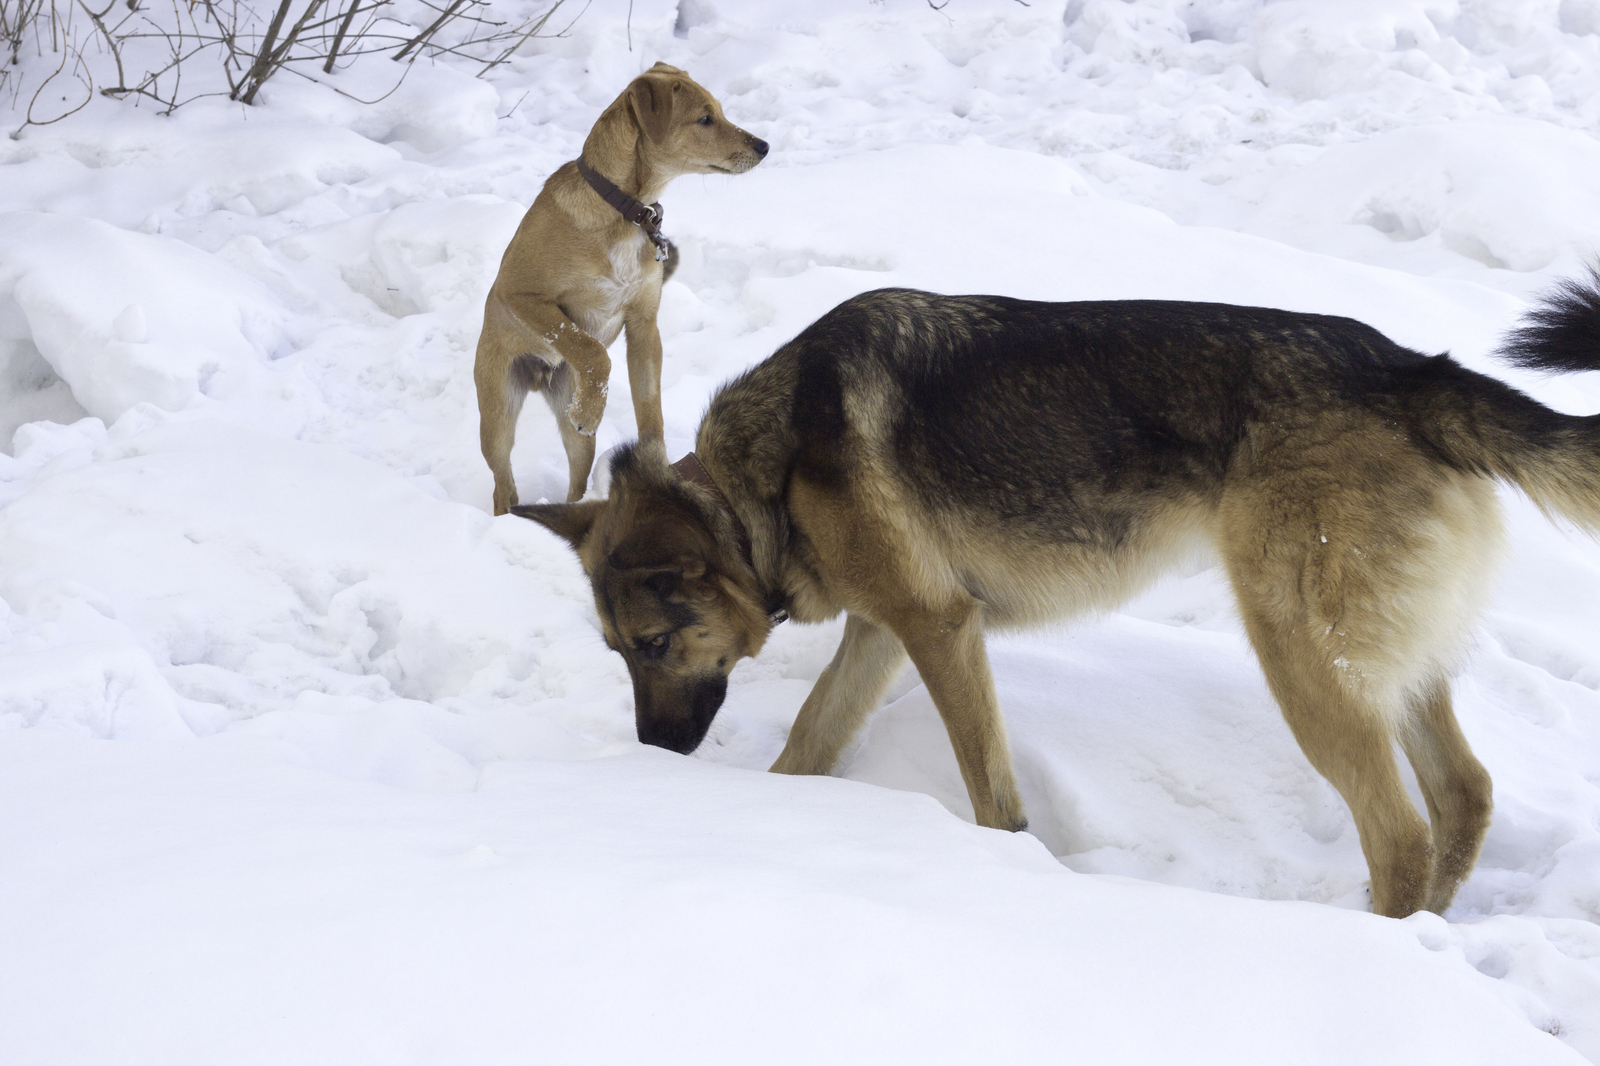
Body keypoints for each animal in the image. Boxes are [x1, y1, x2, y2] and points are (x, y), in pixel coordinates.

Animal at [473, 61, 768, 512]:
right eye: (705, 119)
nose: (764, 146)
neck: (625, 212)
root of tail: (542, 377)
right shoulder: (520, 294)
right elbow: (589, 347)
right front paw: (593, 407)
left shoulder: (644, 326)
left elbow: (650, 410)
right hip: (498, 411)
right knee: (502, 482)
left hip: (573, 427)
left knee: (575, 477)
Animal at [521, 273, 1600, 915]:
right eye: (620, 653)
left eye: (653, 646)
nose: (655, 758)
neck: (760, 483)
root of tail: (1408, 371)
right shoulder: (883, 631)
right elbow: (808, 745)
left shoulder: (939, 628)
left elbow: (991, 795)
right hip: (1380, 664)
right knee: (1464, 794)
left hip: (1303, 659)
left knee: (1403, 835)